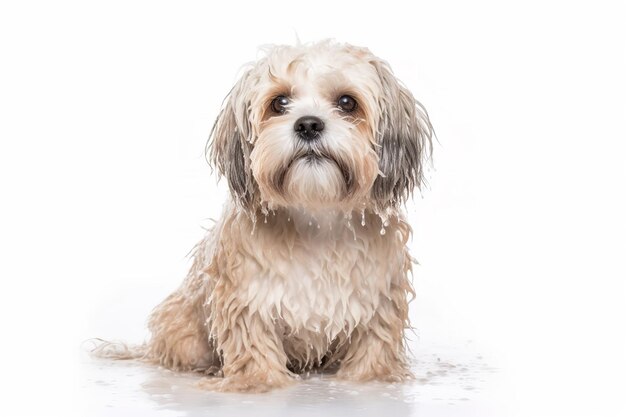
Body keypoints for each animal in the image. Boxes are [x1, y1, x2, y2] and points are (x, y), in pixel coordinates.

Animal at [95, 40, 432, 392]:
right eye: (279, 102)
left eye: (347, 102)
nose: (308, 124)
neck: (316, 219)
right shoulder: (247, 298)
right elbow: (253, 344)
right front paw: (257, 381)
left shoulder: (379, 300)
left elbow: (374, 346)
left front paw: (373, 378)